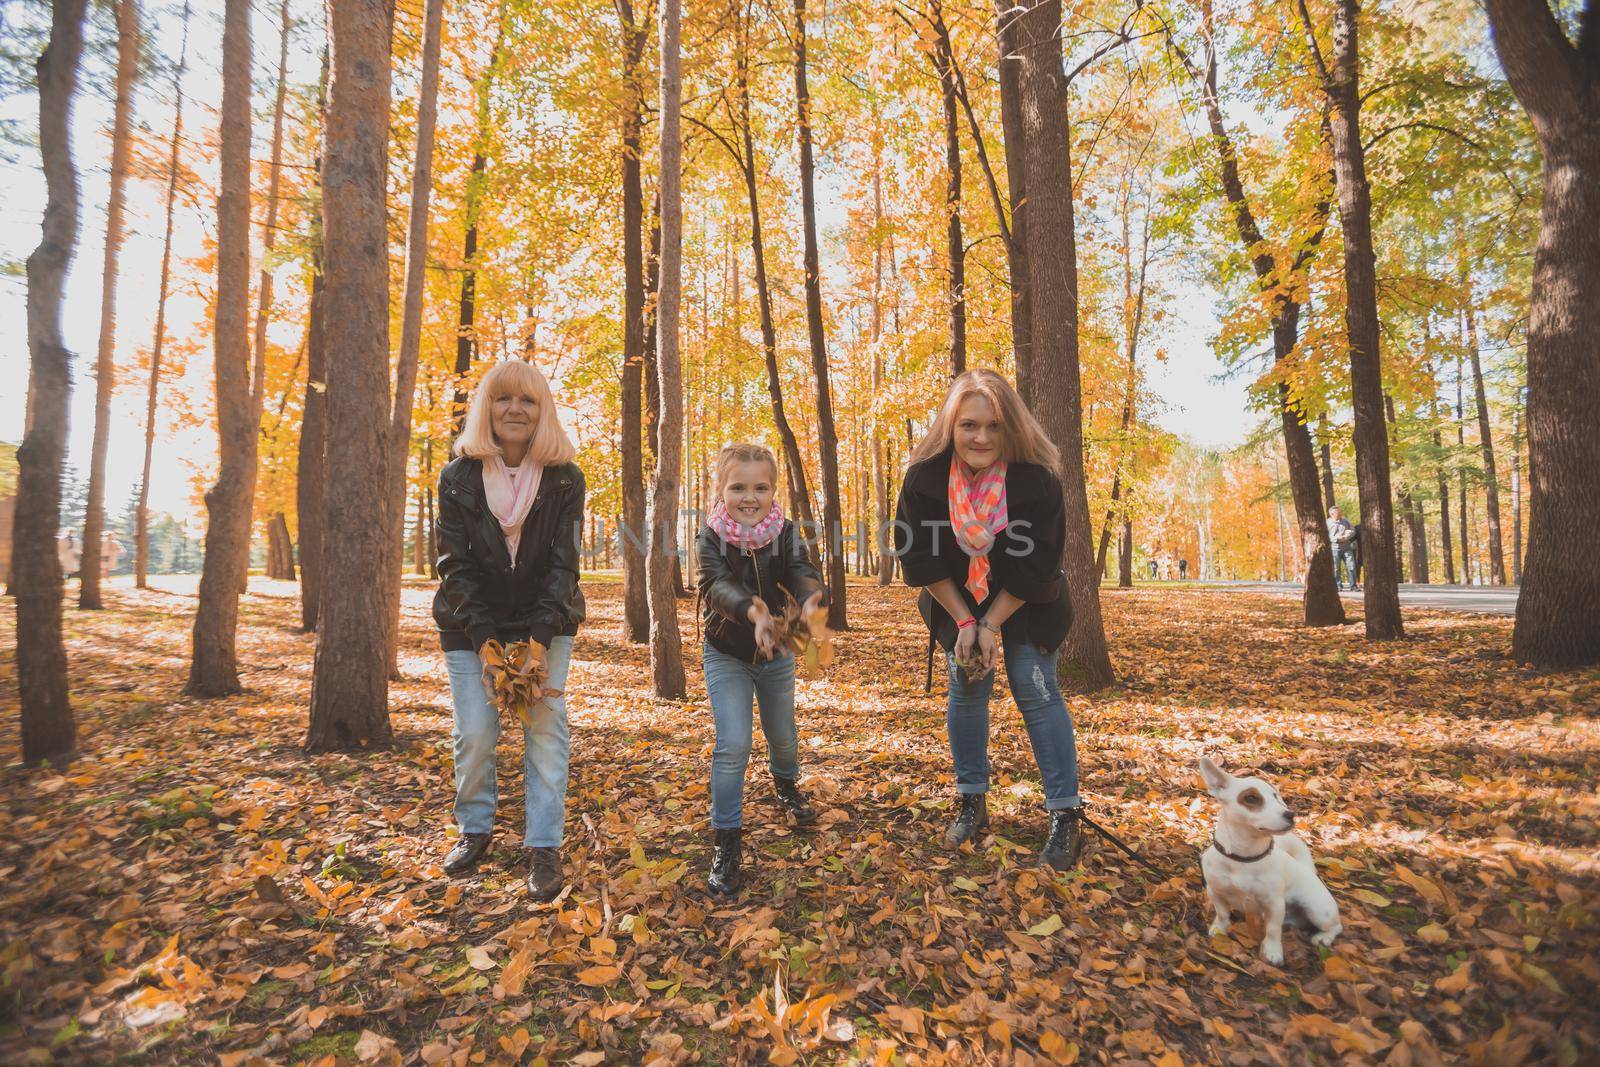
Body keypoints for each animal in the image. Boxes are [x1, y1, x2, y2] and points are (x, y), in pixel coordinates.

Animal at [1196, 755, 1344, 966]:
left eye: (1275, 797)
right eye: (1251, 798)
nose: (1291, 814)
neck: (1244, 859)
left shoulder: (1275, 904)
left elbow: (1273, 930)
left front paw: (1273, 951)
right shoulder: (1216, 892)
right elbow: (1223, 914)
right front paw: (1219, 929)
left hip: (1319, 911)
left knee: (1336, 926)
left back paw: (1323, 937)